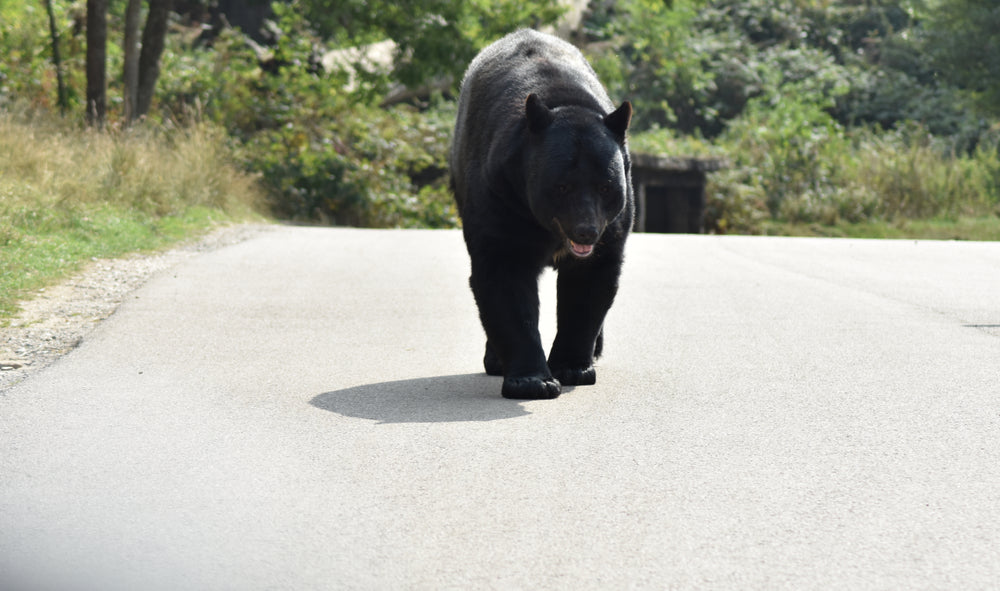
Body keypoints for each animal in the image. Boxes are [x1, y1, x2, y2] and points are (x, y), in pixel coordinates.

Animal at [450, 29, 634, 399]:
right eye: (561, 186)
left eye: (606, 186)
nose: (586, 231)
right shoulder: (501, 194)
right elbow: (505, 276)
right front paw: (532, 381)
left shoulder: (614, 226)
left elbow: (589, 283)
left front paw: (573, 368)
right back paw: (496, 359)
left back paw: (595, 350)